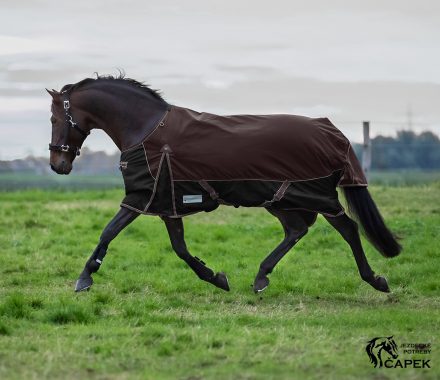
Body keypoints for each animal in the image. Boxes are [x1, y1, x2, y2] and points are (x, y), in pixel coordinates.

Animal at [46, 74, 400, 294]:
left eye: (53, 118)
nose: (57, 164)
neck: (146, 130)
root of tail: (331, 131)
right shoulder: (166, 202)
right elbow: (179, 247)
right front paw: (216, 277)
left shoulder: (142, 197)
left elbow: (109, 231)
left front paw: (84, 278)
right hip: (281, 199)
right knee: (297, 230)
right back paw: (260, 277)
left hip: (315, 196)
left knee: (348, 229)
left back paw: (376, 280)